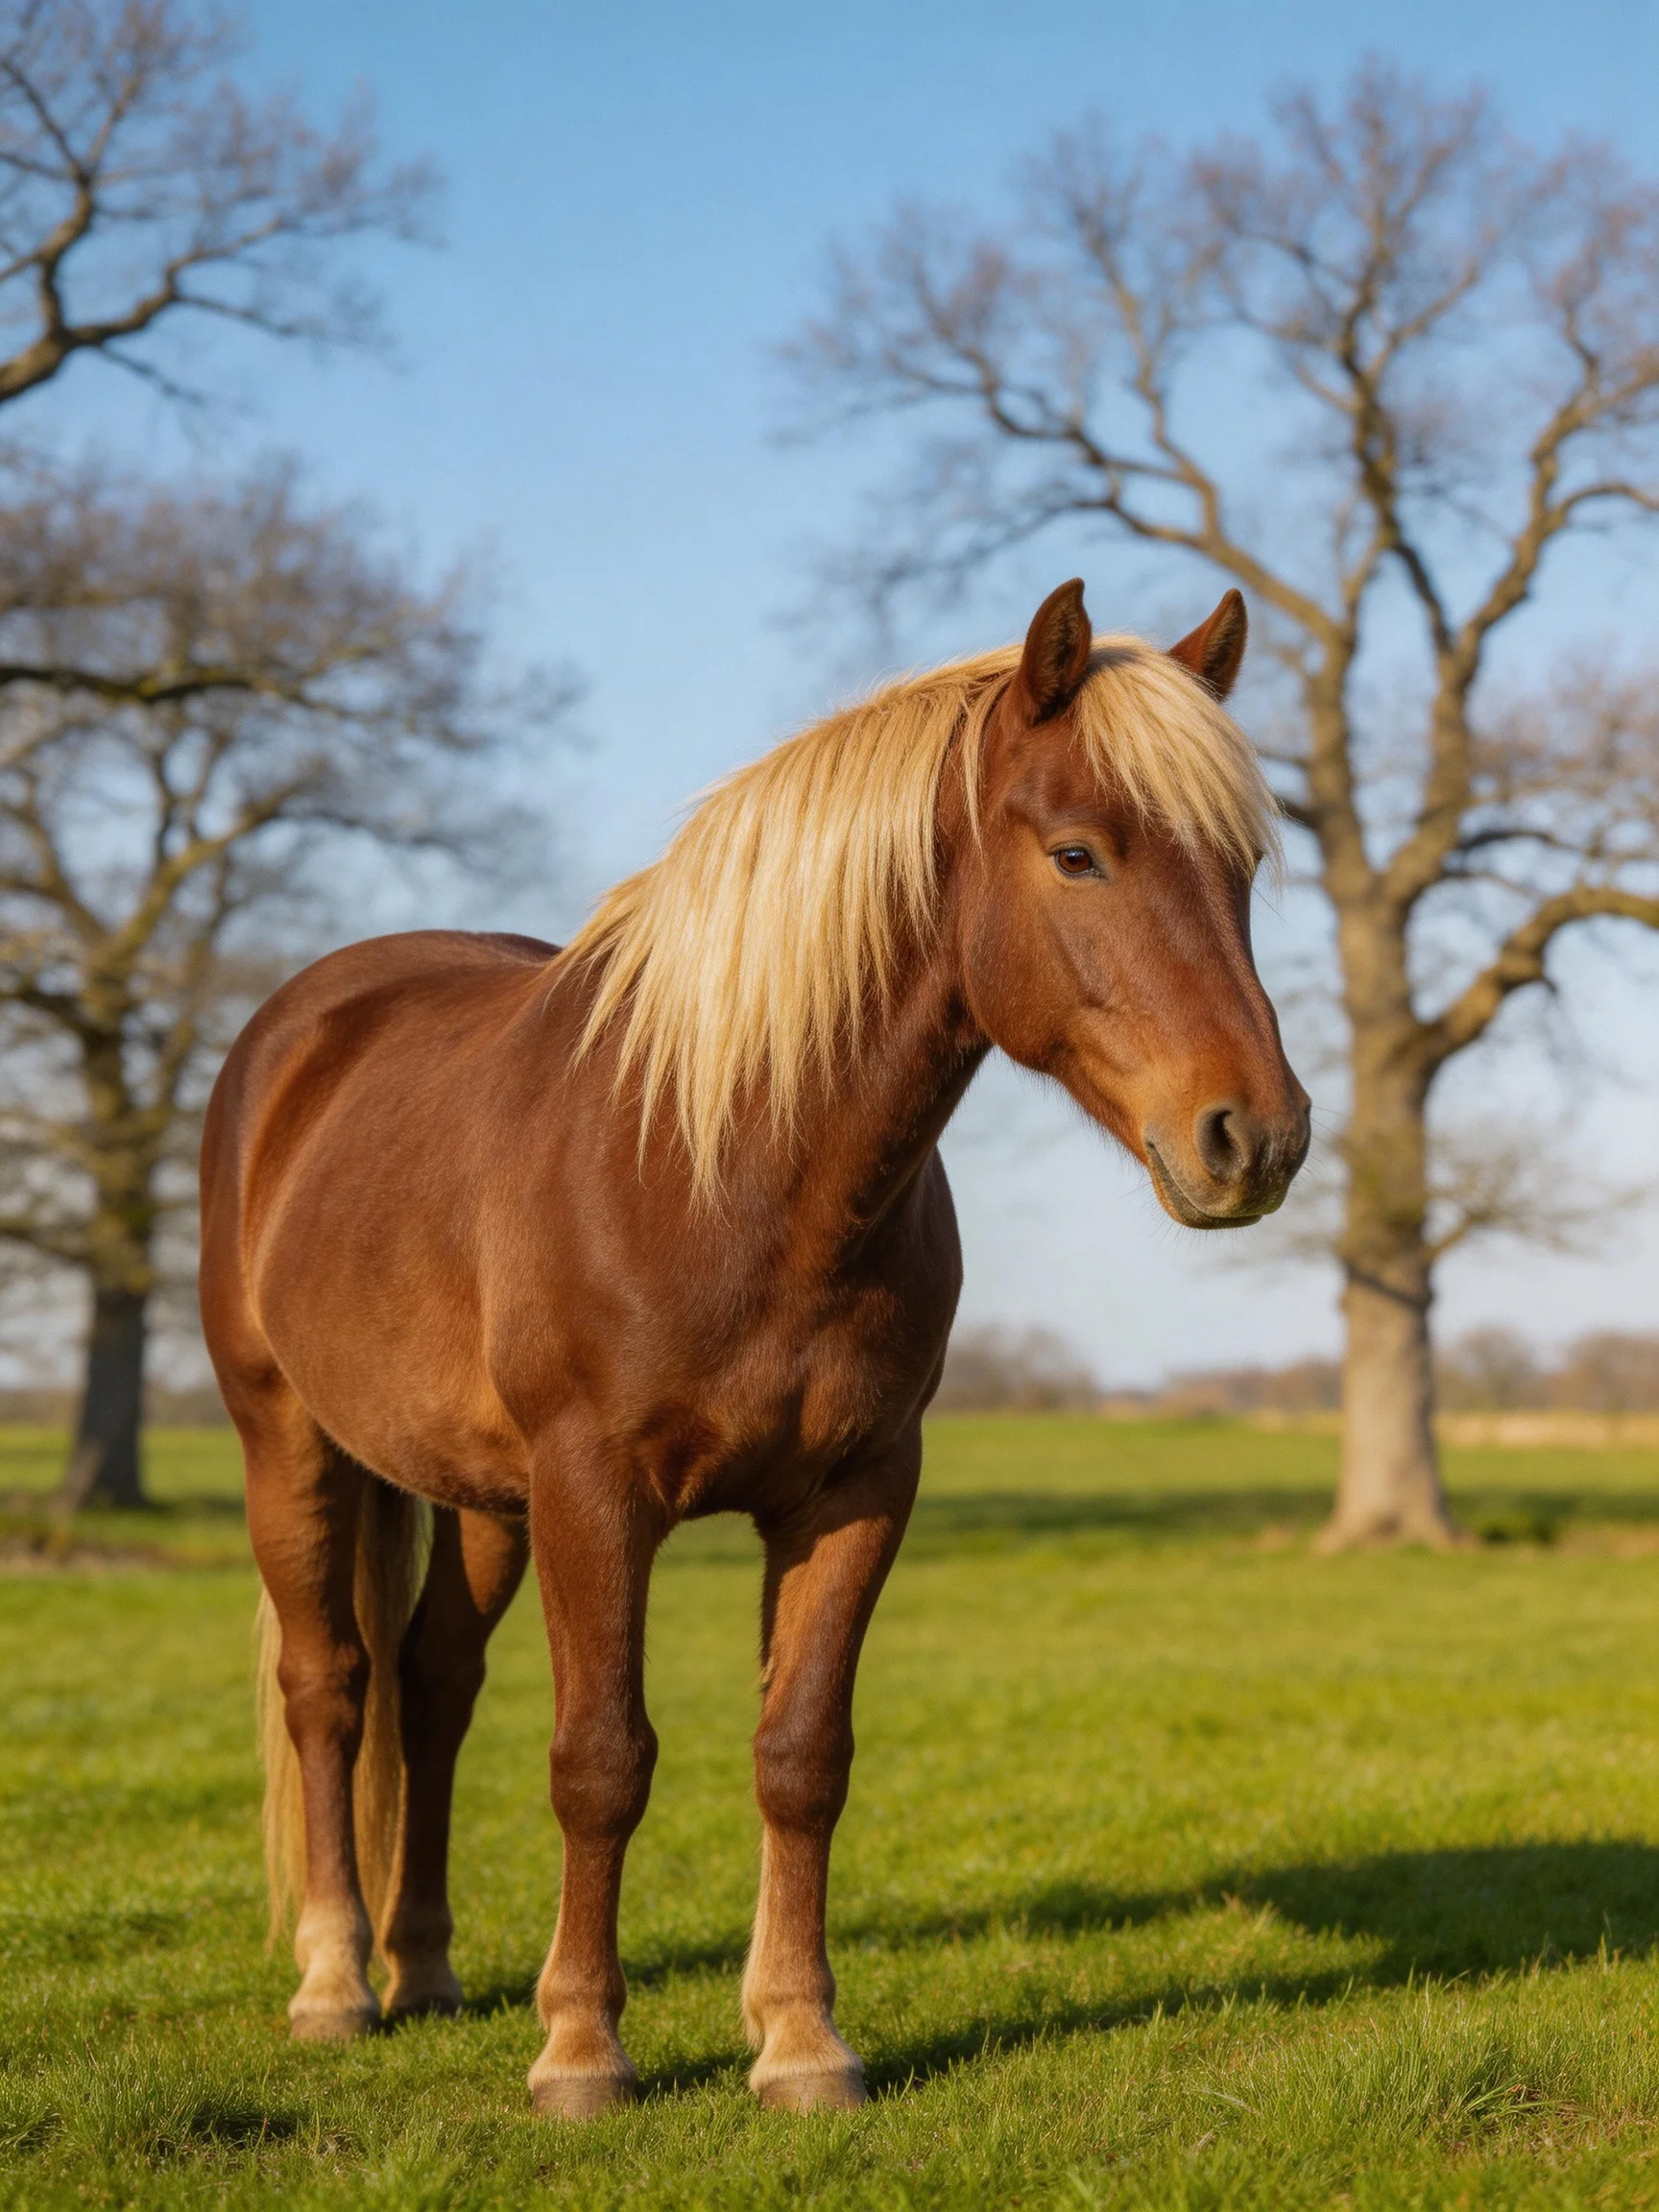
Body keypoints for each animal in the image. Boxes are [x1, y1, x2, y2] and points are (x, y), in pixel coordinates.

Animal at [200, 578, 1309, 2119]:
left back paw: (424, 1973)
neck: (728, 1167)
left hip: (484, 1501)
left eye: (1245, 866)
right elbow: (601, 1760)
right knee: (330, 1691)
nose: (1253, 1139)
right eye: (1079, 854)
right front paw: (582, 2052)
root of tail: (300, 1030)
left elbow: (801, 1757)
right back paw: (333, 1987)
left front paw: (798, 2041)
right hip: (288, 1447)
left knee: (431, 1689)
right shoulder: (596, 1495)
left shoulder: (853, 1493)